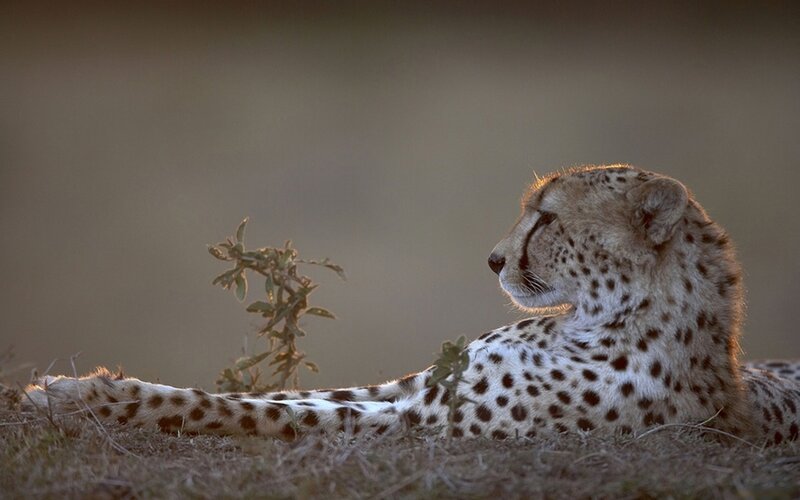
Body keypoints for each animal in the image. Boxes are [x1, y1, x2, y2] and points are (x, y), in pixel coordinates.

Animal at [23, 165, 800, 445]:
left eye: (546, 218)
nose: (493, 259)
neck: (597, 317)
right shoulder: (415, 387)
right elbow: (277, 396)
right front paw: (72, 387)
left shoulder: (419, 419)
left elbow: (255, 411)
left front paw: (90, 398)